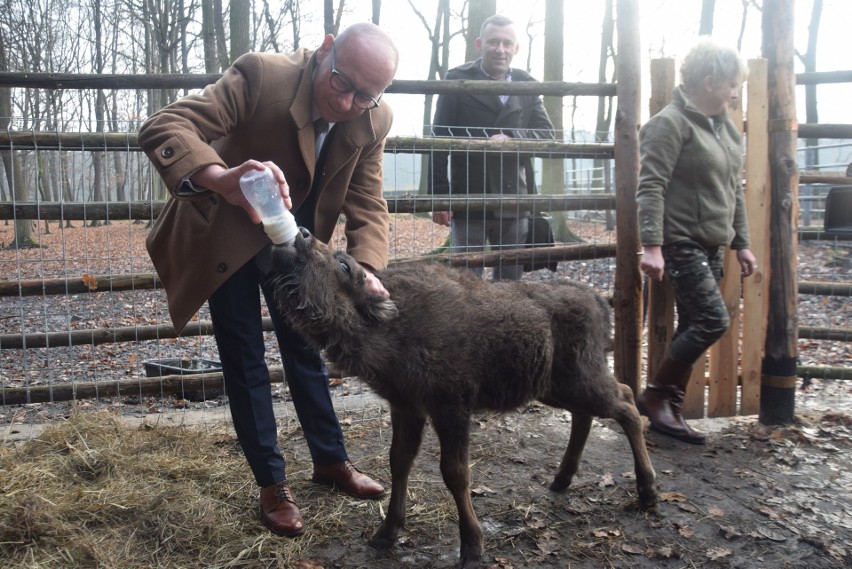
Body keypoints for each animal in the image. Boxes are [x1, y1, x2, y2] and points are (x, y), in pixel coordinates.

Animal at [270, 229, 656, 568]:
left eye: (344, 264)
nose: (301, 235)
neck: (393, 321)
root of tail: (597, 299)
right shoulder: (407, 407)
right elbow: (399, 461)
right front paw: (386, 532)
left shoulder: (450, 407)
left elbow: (454, 473)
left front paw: (472, 547)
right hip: (555, 387)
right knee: (588, 414)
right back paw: (562, 479)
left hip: (581, 380)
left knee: (626, 405)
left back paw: (647, 492)